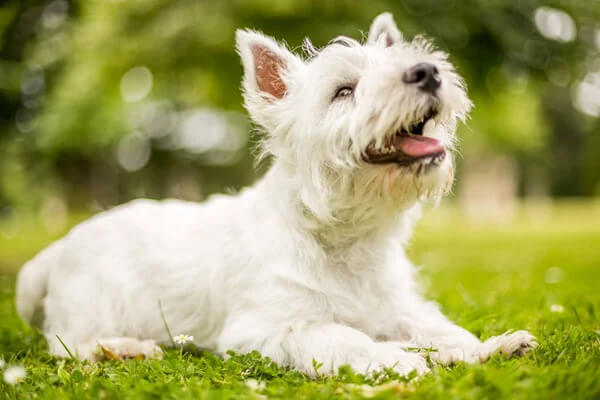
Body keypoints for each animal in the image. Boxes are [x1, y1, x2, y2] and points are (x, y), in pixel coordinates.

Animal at [16, 12, 536, 376]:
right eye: (343, 91)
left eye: (408, 61)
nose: (428, 72)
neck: (347, 237)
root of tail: (59, 249)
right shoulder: (266, 328)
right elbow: (340, 336)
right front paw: (400, 359)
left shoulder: (396, 306)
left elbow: (437, 326)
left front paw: (489, 346)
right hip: (96, 304)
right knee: (69, 342)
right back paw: (126, 349)